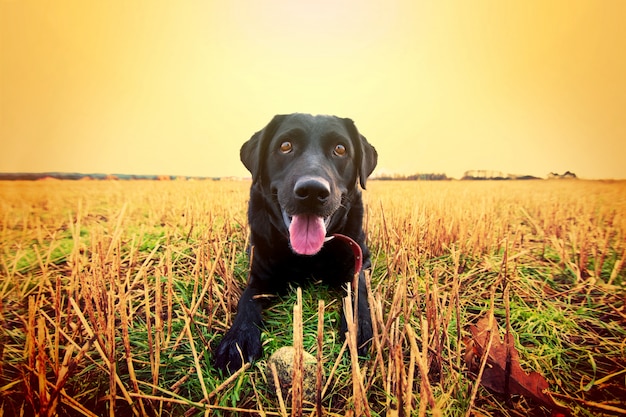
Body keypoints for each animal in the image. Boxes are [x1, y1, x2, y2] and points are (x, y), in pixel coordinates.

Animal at [216, 112, 376, 372]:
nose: (312, 190)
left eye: (340, 149)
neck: (308, 258)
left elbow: (358, 291)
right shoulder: (259, 275)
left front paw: (359, 327)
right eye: (285, 146)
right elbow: (247, 300)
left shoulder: (359, 262)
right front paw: (237, 338)